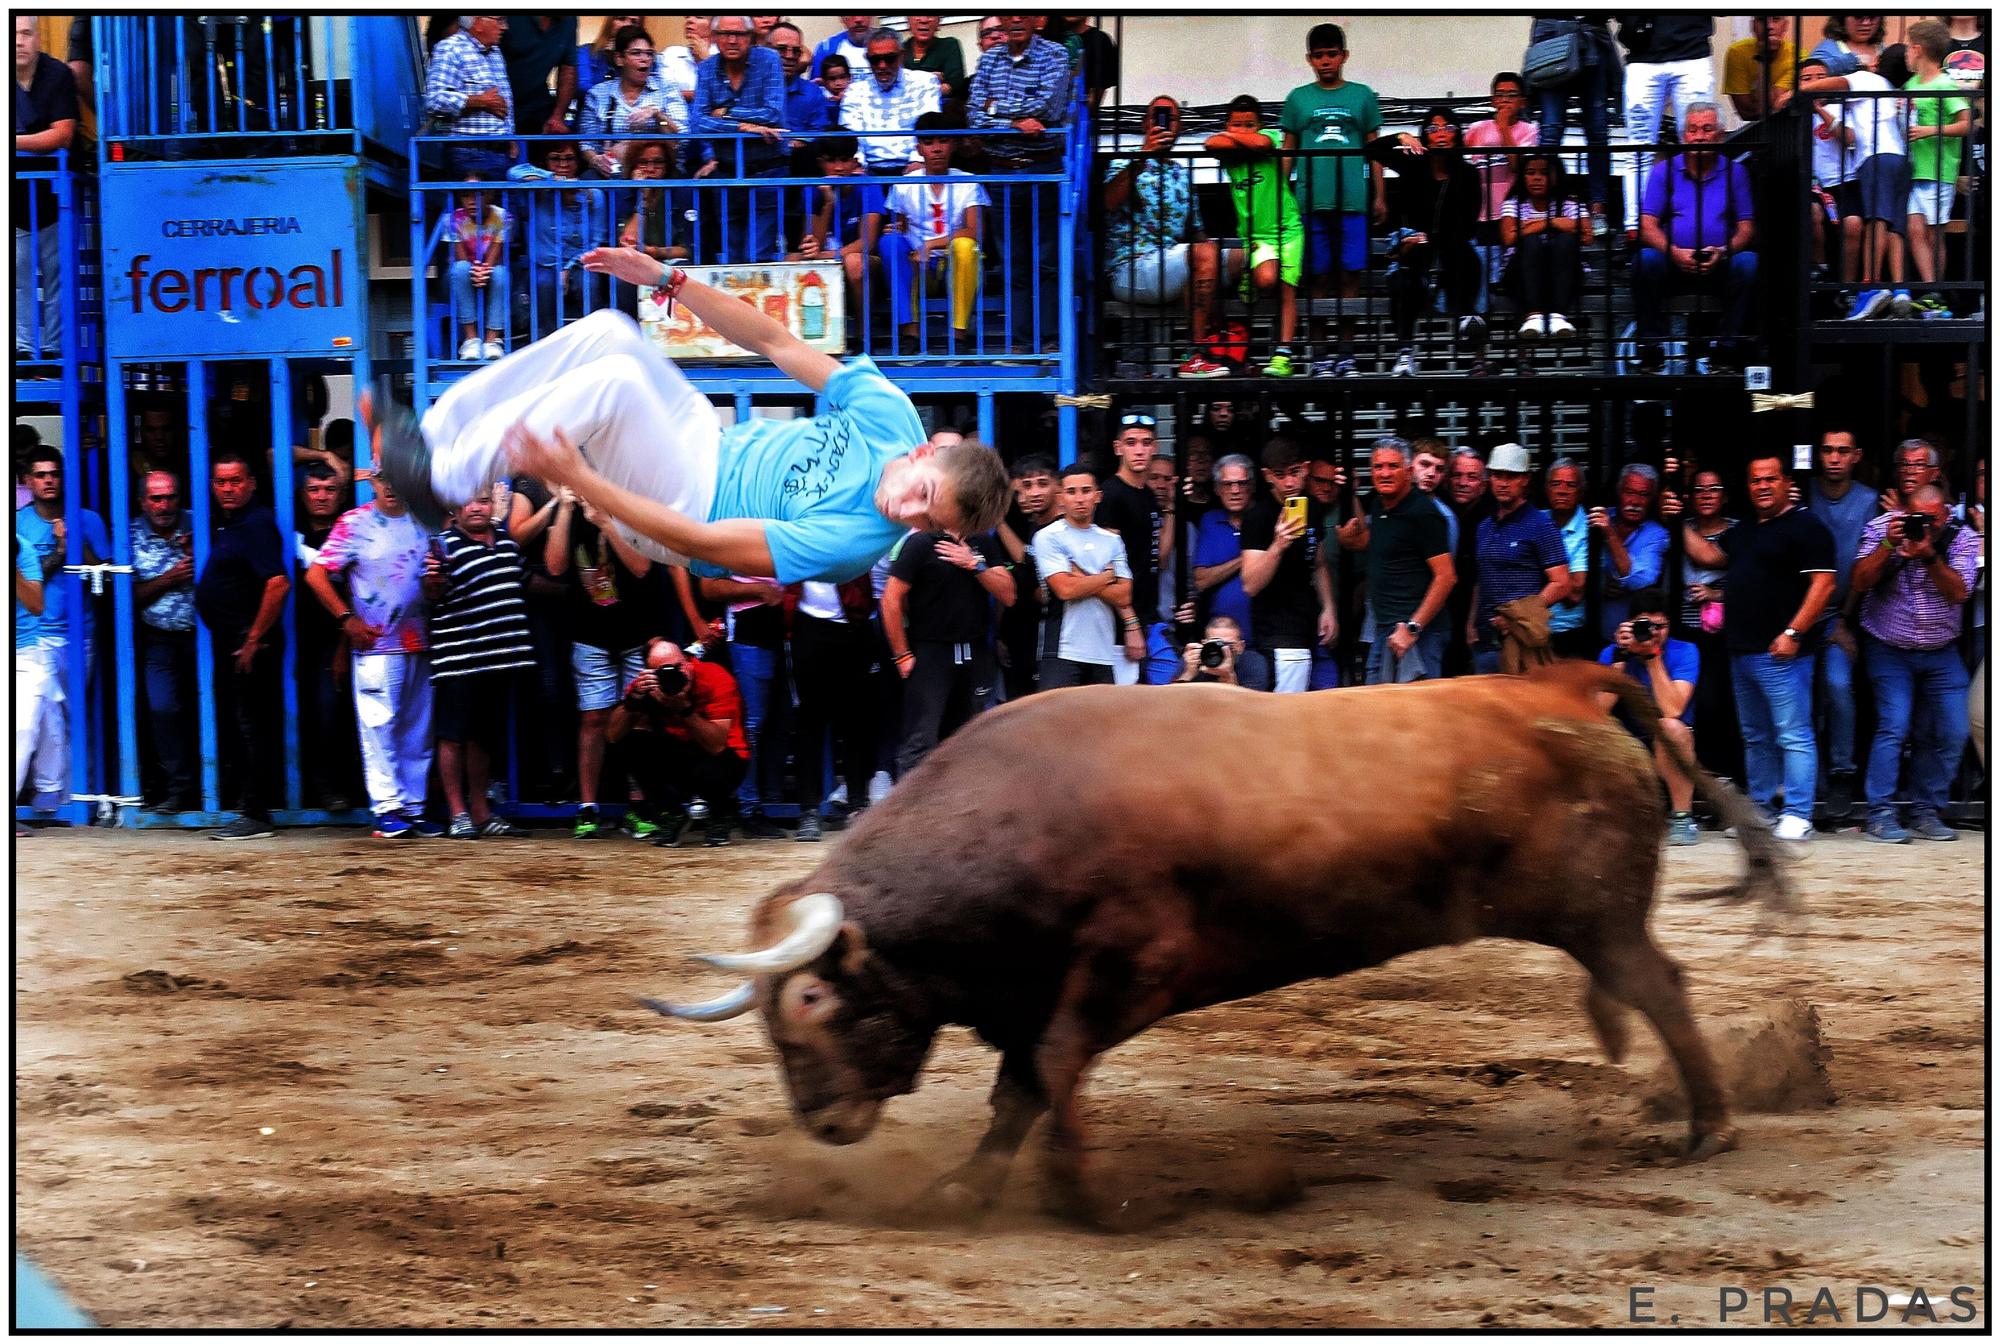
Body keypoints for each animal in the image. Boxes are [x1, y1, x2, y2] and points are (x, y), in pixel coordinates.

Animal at [644, 668, 1800, 1224]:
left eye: (810, 1003)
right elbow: (1018, 1089)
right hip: (1591, 922)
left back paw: (1708, 1126)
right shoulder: (1032, 992)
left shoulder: (1129, 971)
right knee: (1643, 988)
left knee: (1659, 984)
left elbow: (1050, 1069)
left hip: (1599, 918)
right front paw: (969, 1189)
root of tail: (1566, 685)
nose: (826, 1126)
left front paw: (1084, 1196)